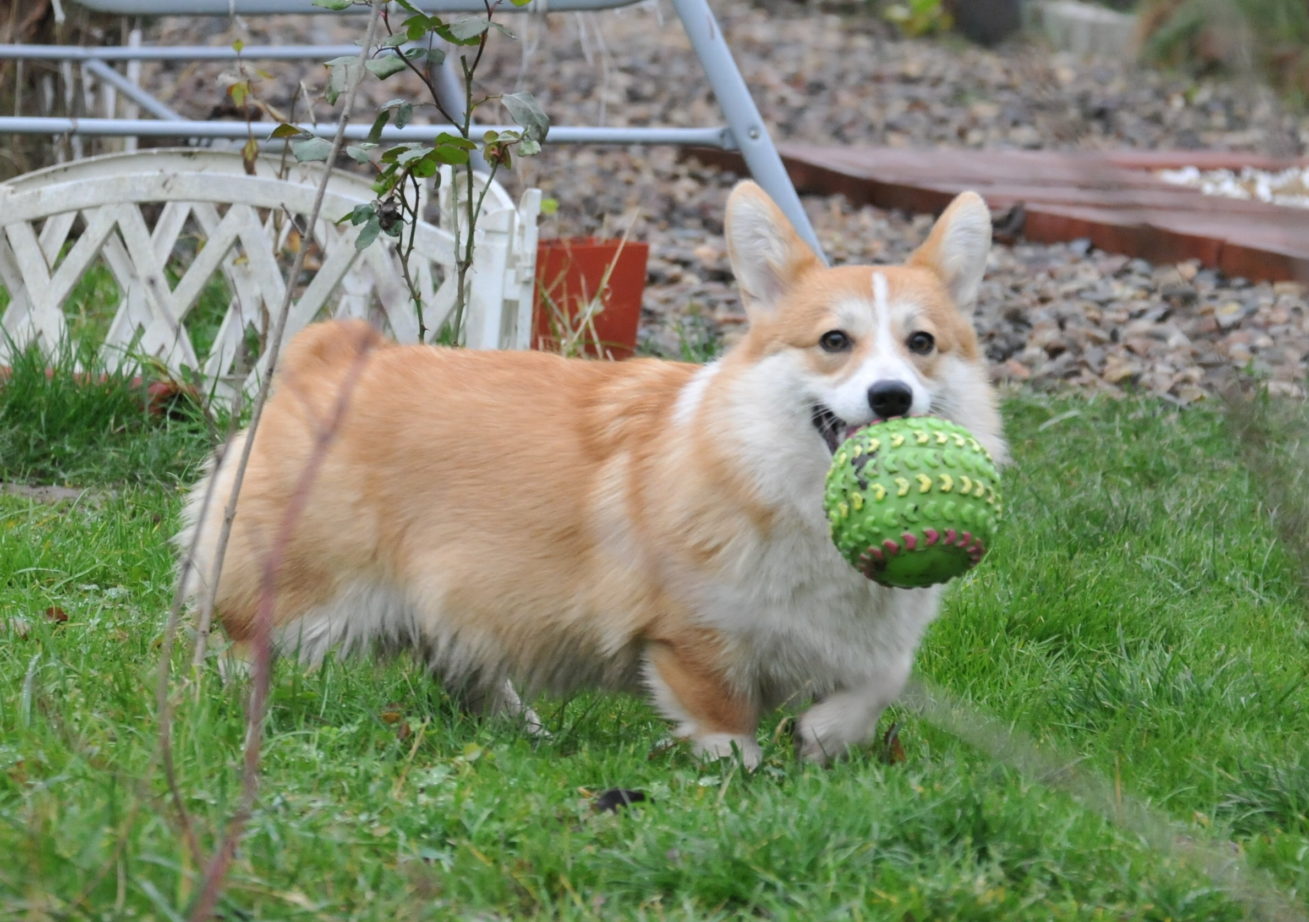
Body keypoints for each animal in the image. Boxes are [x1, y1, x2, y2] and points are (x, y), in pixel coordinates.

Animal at [176, 180, 1000, 764]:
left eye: (921, 343)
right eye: (834, 341)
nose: (892, 398)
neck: (782, 484)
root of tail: (328, 355)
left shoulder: (870, 645)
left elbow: (877, 685)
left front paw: (822, 737)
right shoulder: (690, 639)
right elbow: (724, 722)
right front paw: (739, 774)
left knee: (463, 666)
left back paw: (523, 729)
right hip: (294, 589)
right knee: (228, 640)